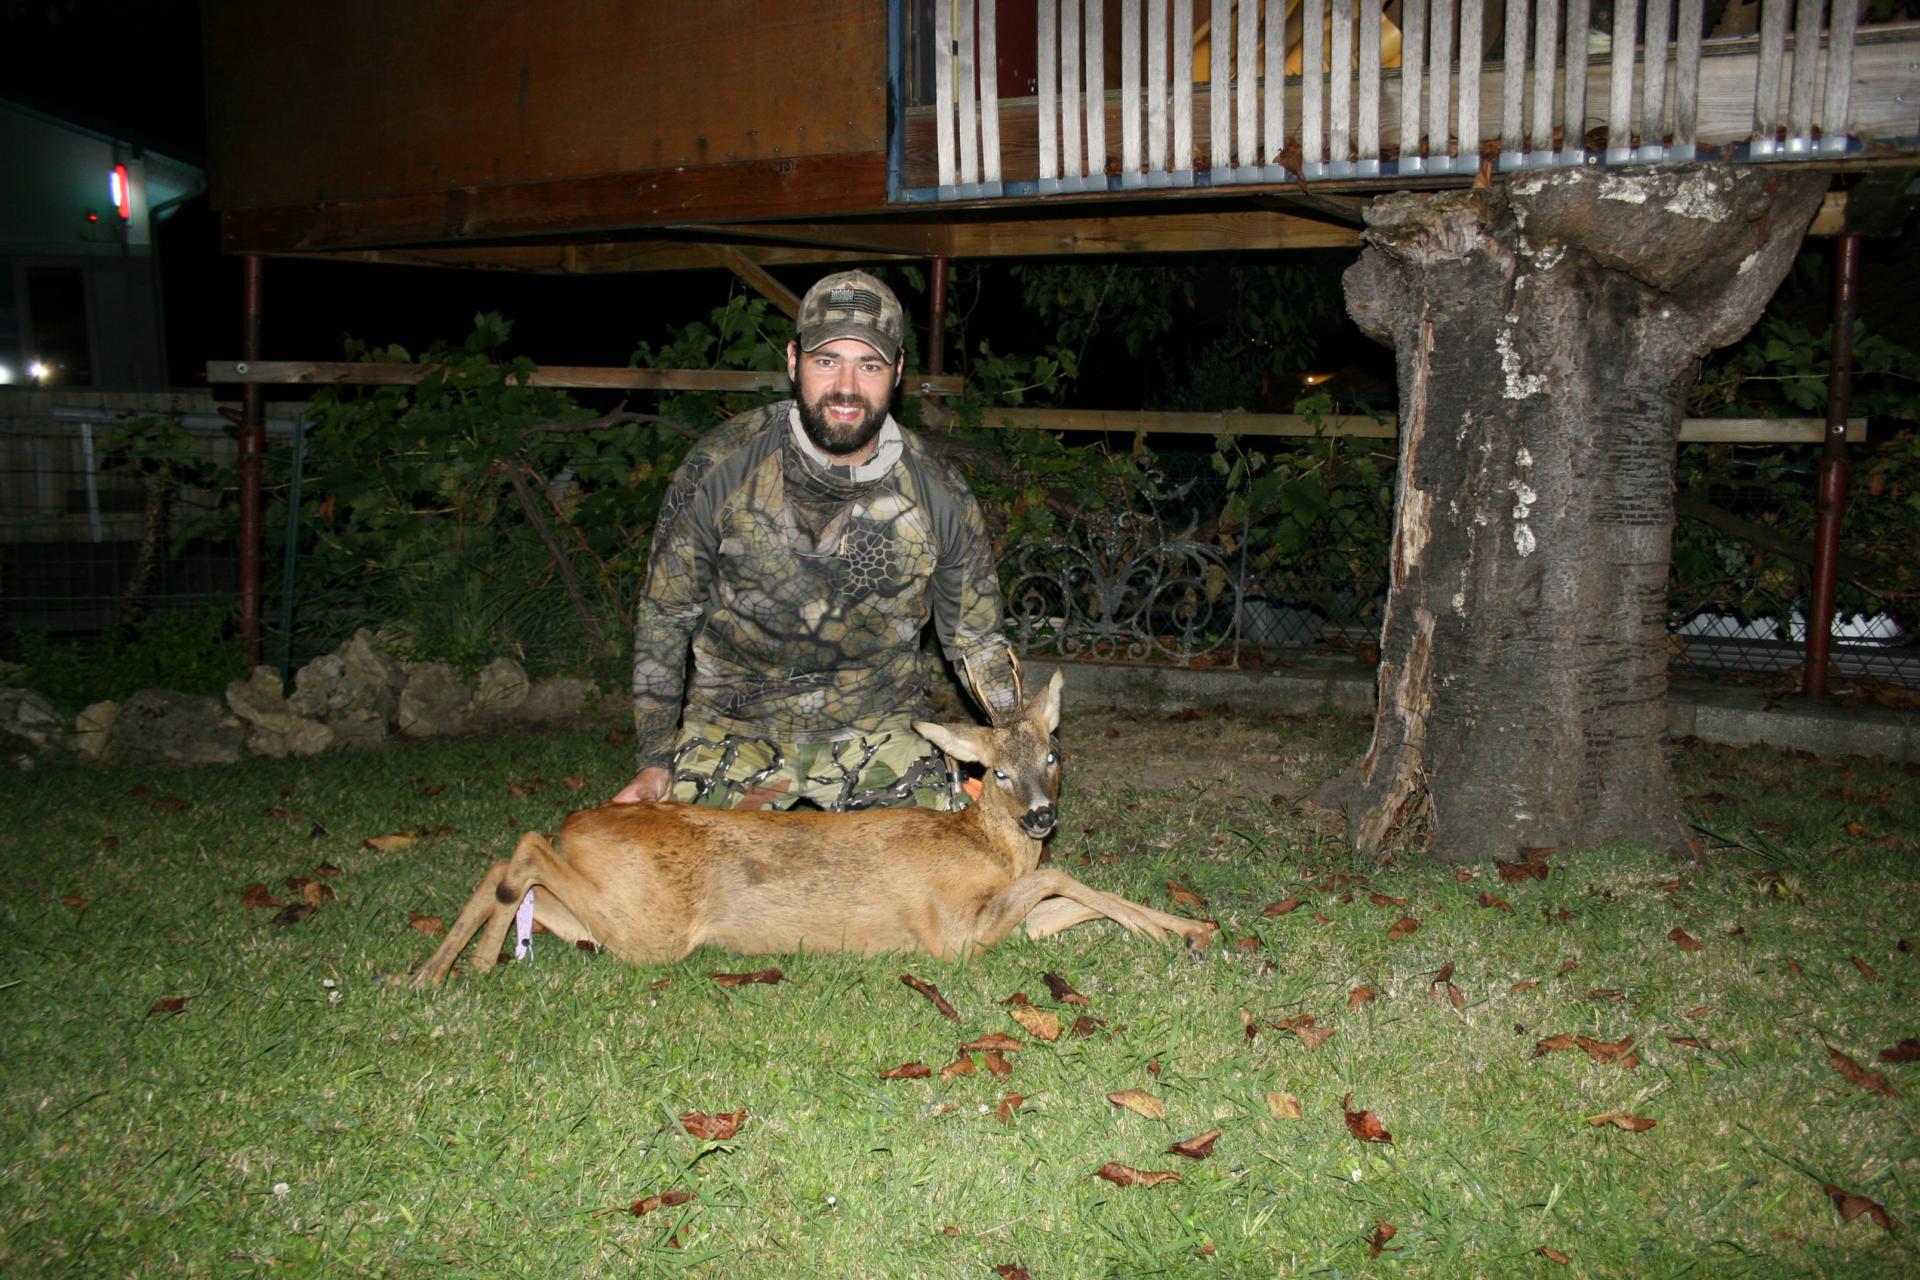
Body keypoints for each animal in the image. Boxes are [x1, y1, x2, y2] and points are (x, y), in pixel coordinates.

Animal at [414, 671, 1213, 982]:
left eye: (1054, 753)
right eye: (999, 772)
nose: (1043, 815)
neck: (985, 845)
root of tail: (584, 820)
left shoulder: (1007, 921)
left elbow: (1069, 903)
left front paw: (1190, 927)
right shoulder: (952, 934)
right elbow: (1062, 876)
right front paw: (1175, 930)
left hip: (607, 918)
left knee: (512, 872)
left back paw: (444, 969)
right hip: (649, 926)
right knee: (522, 849)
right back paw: (457, 964)